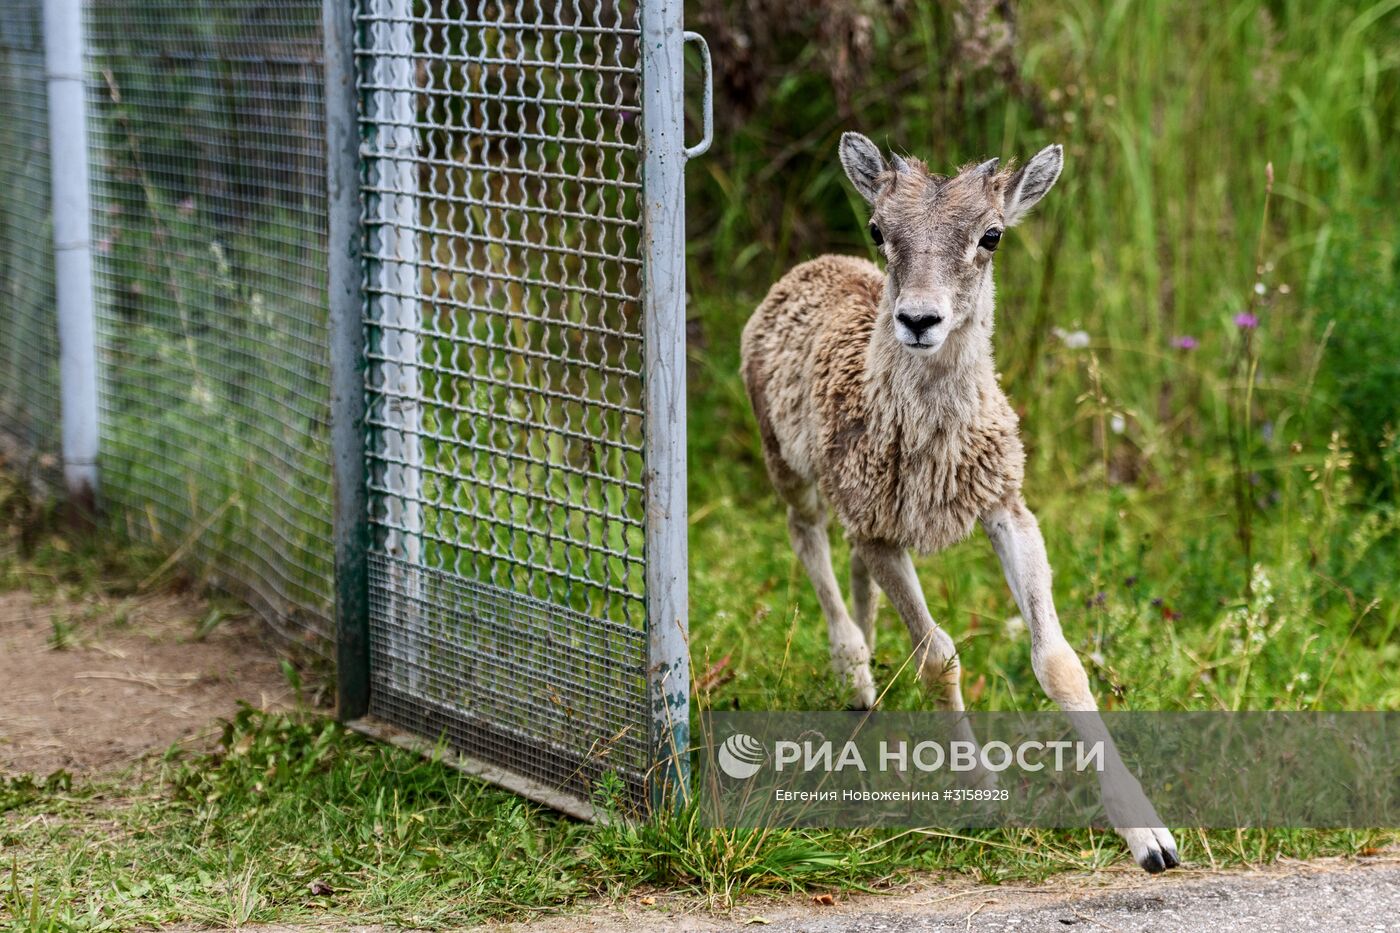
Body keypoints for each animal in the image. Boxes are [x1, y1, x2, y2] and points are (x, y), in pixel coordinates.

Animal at [744, 132, 1181, 874]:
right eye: (879, 229)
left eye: (992, 234)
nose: (919, 319)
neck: (929, 443)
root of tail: (803, 271)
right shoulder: (886, 532)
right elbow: (941, 658)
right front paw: (985, 792)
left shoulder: (1004, 503)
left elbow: (1058, 660)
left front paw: (1152, 839)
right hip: (787, 465)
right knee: (808, 539)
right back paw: (854, 674)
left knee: (847, 561)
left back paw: (869, 687)